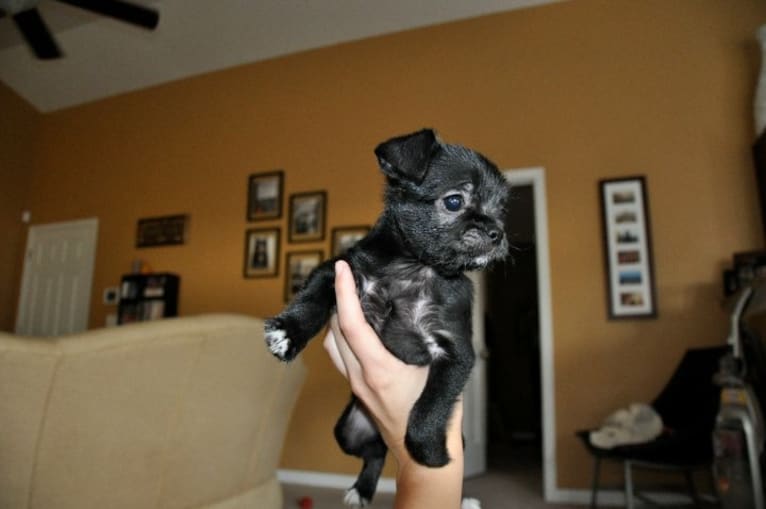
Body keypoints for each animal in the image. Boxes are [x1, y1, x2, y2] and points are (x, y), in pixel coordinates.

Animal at [264, 128, 510, 504]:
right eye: (454, 201)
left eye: (500, 209)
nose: (497, 232)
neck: (414, 267)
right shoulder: (338, 271)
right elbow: (311, 299)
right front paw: (289, 332)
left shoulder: (455, 352)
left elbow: (428, 408)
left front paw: (431, 455)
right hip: (346, 431)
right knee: (375, 454)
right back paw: (362, 489)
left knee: (382, 451)